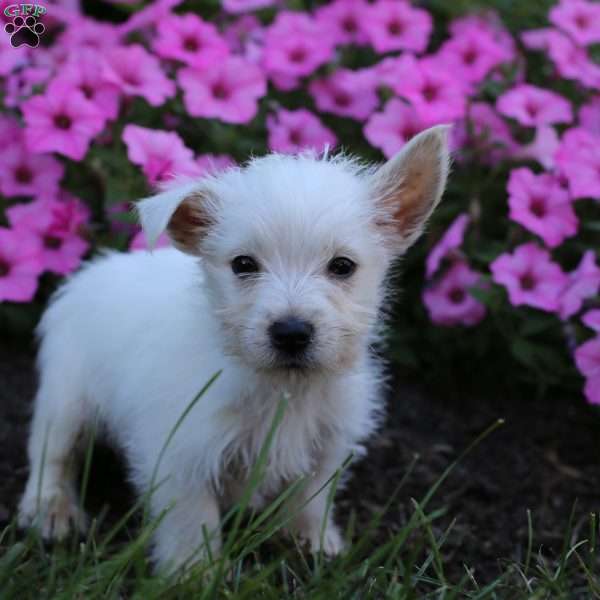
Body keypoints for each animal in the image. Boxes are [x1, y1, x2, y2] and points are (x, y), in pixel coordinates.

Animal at [17, 125, 450, 572]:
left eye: (342, 266)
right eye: (244, 264)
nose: (291, 332)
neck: (283, 389)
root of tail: (92, 268)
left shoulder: (327, 443)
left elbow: (311, 499)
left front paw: (314, 546)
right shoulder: (180, 453)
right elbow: (193, 520)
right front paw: (194, 572)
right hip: (67, 396)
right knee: (52, 452)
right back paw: (51, 511)